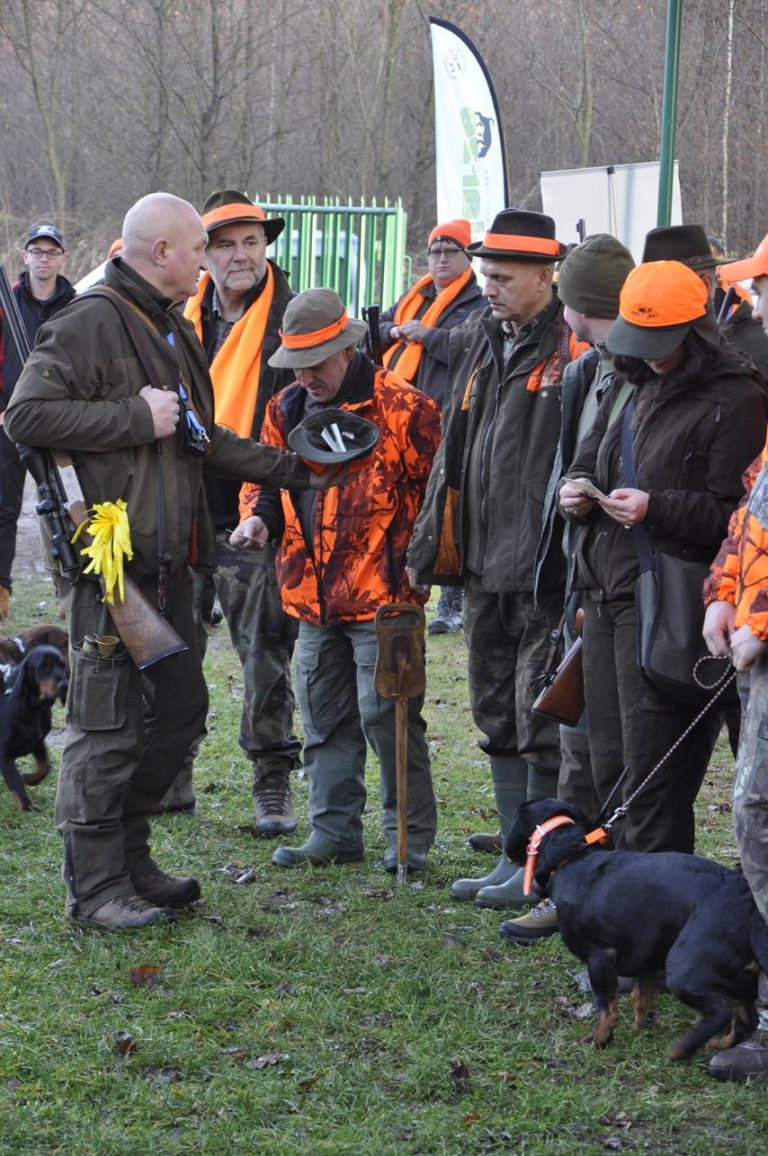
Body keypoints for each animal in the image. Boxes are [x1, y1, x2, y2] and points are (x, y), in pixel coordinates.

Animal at [0, 642, 69, 813]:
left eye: (63, 665)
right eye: (44, 667)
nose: (65, 685)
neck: (35, 708)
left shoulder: (38, 741)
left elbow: (45, 767)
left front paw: (29, 779)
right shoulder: (4, 752)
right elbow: (15, 781)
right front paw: (27, 806)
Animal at [504, 799, 768, 1058]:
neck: (574, 859)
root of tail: (750, 906)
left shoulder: (601, 956)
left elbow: (605, 1009)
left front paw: (598, 1041)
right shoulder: (647, 957)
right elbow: (643, 996)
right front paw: (642, 1026)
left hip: (684, 968)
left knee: (719, 1013)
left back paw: (681, 1049)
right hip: (734, 977)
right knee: (745, 1017)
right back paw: (721, 1044)